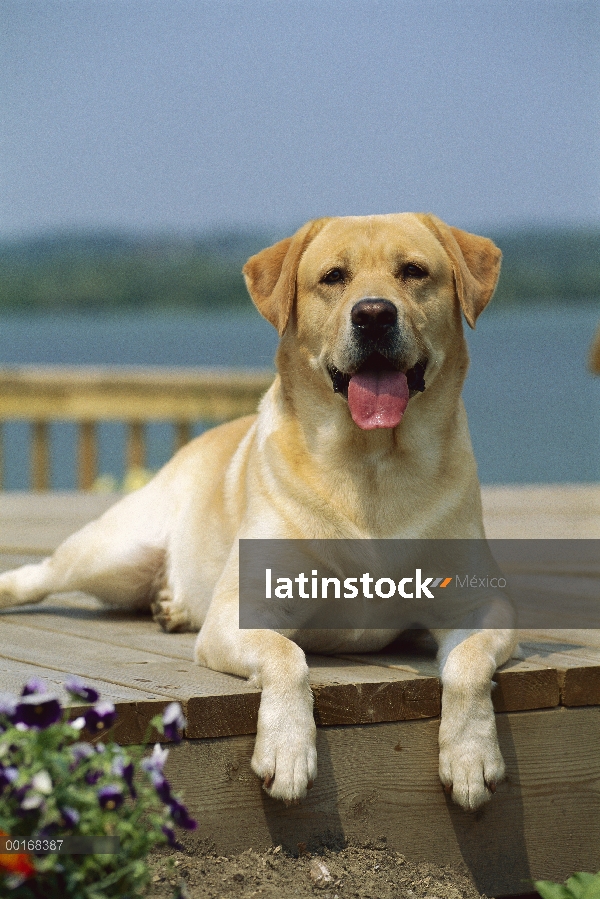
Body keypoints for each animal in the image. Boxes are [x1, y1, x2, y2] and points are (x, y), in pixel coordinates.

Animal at [0, 214, 516, 812]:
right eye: (333, 277)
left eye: (414, 271)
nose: (373, 314)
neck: (371, 466)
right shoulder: (242, 614)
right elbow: (286, 657)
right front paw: (288, 751)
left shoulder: (483, 607)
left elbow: (468, 665)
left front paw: (471, 756)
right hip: (111, 553)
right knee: (41, 573)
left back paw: (171, 606)